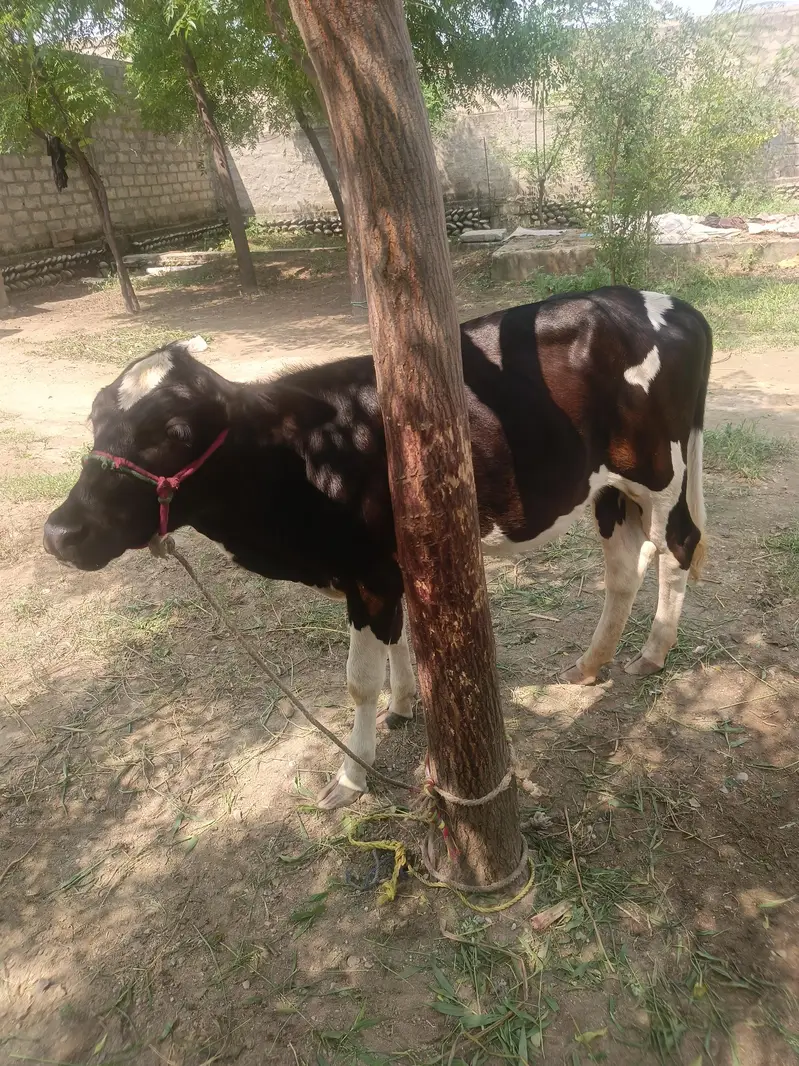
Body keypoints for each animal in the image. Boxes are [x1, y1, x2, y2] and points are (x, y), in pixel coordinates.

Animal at [43, 287, 711, 810]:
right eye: (94, 417)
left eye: (175, 433)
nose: (60, 533)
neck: (302, 456)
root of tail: (672, 304)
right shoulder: (389, 566)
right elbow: (399, 637)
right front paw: (404, 704)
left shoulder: (366, 572)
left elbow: (358, 679)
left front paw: (352, 773)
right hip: (609, 488)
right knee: (624, 569)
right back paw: (590, 664)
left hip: (661, 473)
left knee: (678, 546)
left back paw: (651, 654)